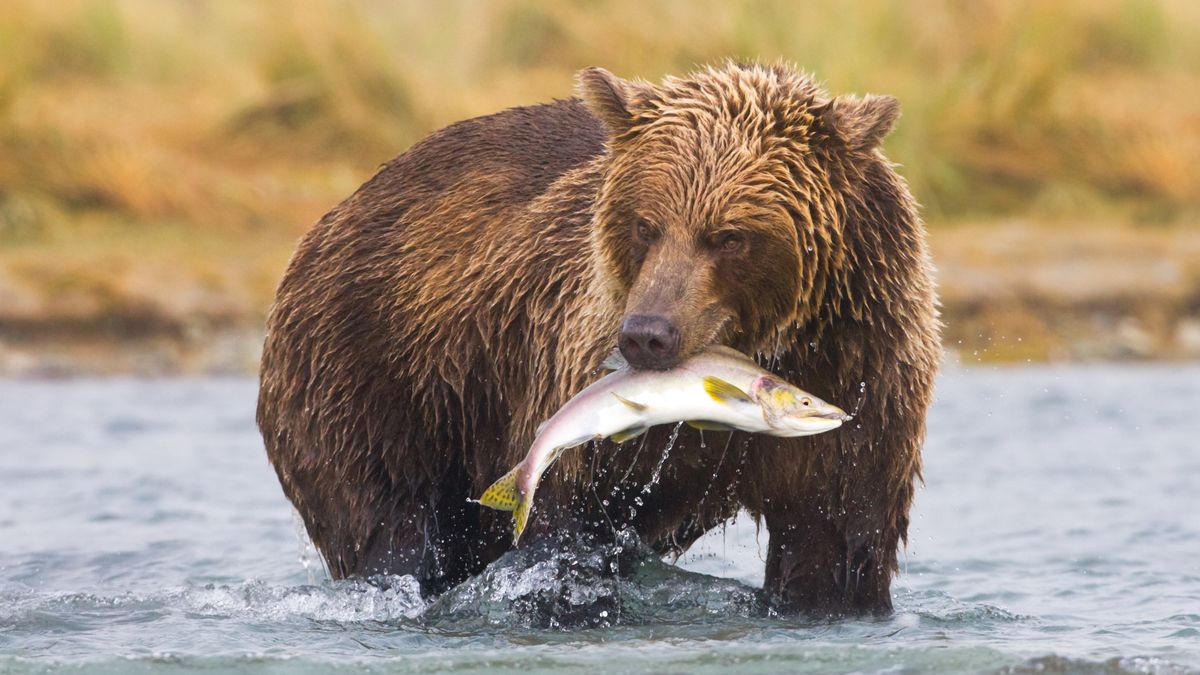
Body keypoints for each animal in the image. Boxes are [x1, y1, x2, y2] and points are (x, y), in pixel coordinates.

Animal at [258, 63, 940, 614]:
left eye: (730, 236)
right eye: (646, 224)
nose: (646, 336)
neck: (770, 341)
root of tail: (335, 214)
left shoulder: (863, 371)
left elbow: (837, 542)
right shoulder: (571, 366)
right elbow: (564, 527)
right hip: (377, 375)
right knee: (390, 529)